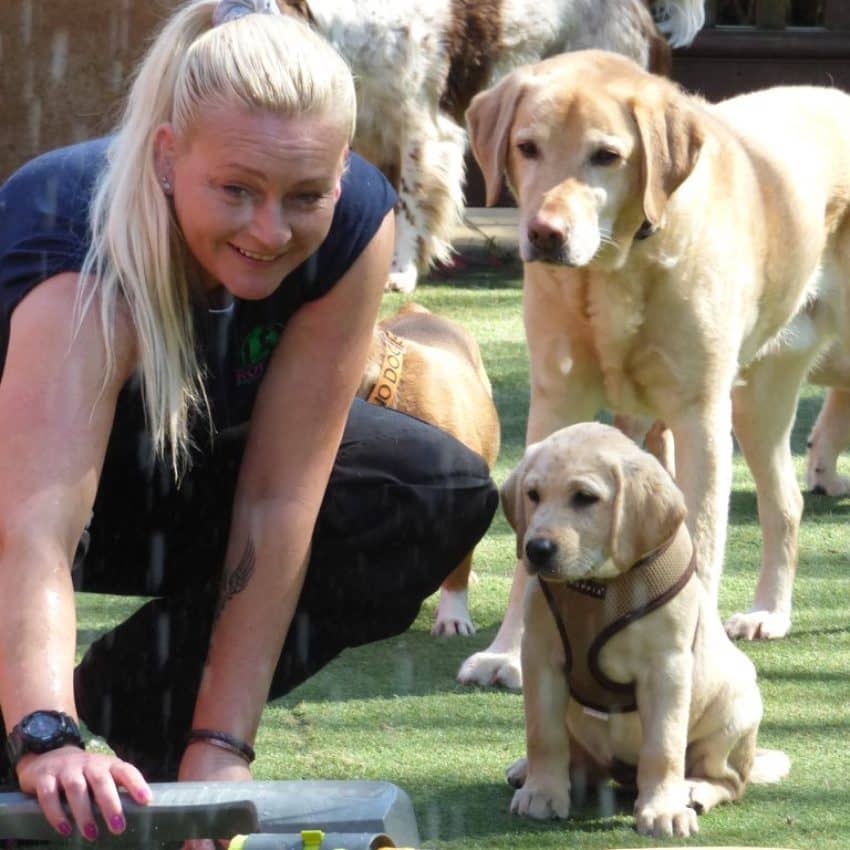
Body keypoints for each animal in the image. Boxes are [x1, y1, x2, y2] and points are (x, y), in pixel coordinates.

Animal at [458, 49, 850, 688]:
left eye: (606, 155)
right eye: (527, 146)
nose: (544, 233)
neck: (617, 266)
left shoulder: (700, 419)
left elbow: (703, 541)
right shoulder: (556, 403)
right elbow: (528, 553)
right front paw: (508, 652)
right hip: (759, 400)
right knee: (786, 502)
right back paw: (769, 612)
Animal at [500, 420, 784, 832]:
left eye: (585, 498)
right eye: (532, 495)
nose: (536, 549)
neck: (600, 586)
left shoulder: (666, 668)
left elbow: (663, 747)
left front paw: (663, 810)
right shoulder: (540, 657)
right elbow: (544, 733)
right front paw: (542, 791)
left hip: (734, 711)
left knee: (729, 781)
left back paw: (694, 790)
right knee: (576, 756)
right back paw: (533, 771)